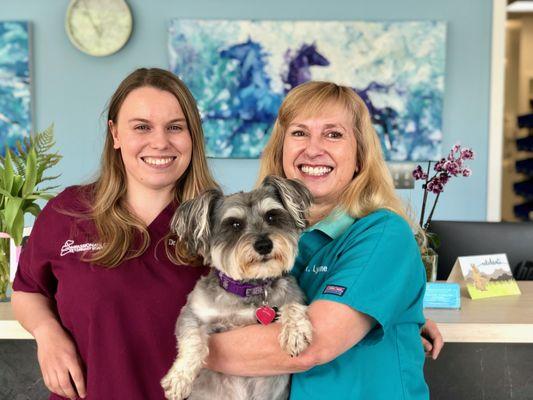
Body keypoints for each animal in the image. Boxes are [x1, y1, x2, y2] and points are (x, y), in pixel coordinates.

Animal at [160, 177, 314, 400]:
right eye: (234, 224)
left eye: (271, 216)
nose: (264, 245)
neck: (250, 287)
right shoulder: (193, 312)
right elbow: (192, 339)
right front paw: (179, 378)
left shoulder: (293, 294)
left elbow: (292, 305)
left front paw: (295, 333)